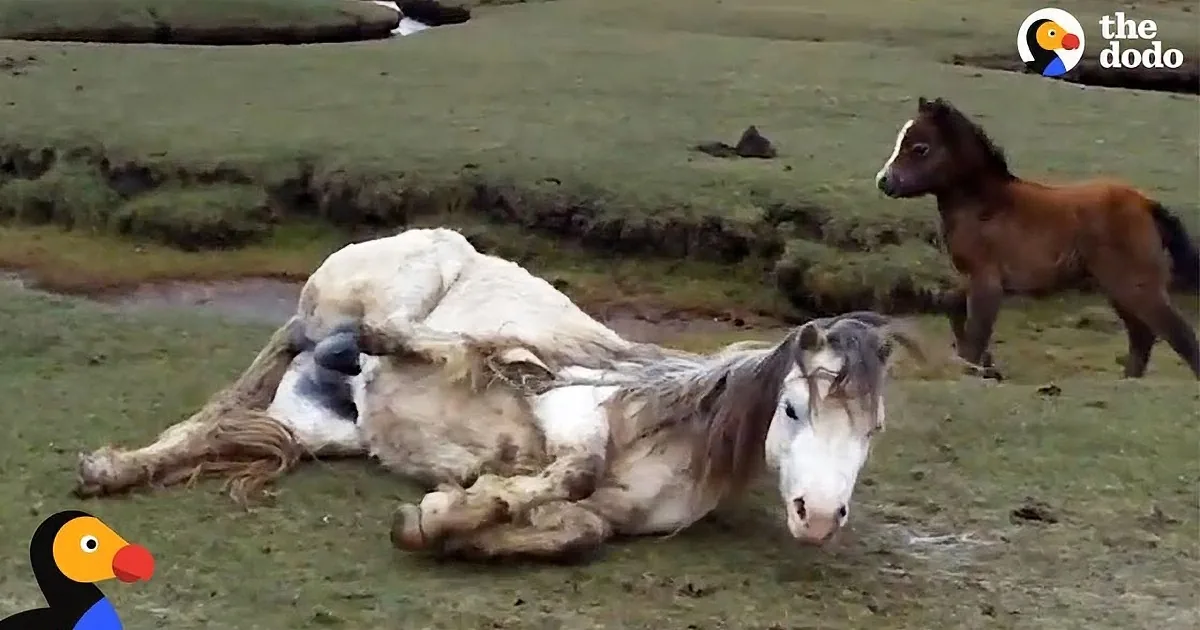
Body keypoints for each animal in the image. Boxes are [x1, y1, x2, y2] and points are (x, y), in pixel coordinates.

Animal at [74, 228, 924, 561]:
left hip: (323, 425)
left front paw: (450, 521)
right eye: (793, 408)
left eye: (875, 431)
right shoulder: (568, 412)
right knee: (342, 338)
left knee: (226, 422)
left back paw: (116, 470)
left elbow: (571, 530)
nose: (819, 518)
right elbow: (571, 462)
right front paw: (450, 509)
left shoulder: (604, 520)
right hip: (347, 303)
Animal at [874, 96, 1200, 380]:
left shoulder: (986, 281)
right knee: (1142, 335)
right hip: (1119, 288)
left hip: (1136, 285)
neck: (984, 205)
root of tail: (1146, 203)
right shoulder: (968, 278)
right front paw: (988, 368)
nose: (884, 181)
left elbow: (976, 334)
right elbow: (955, 312)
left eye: (920, 148)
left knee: (1178, 333)